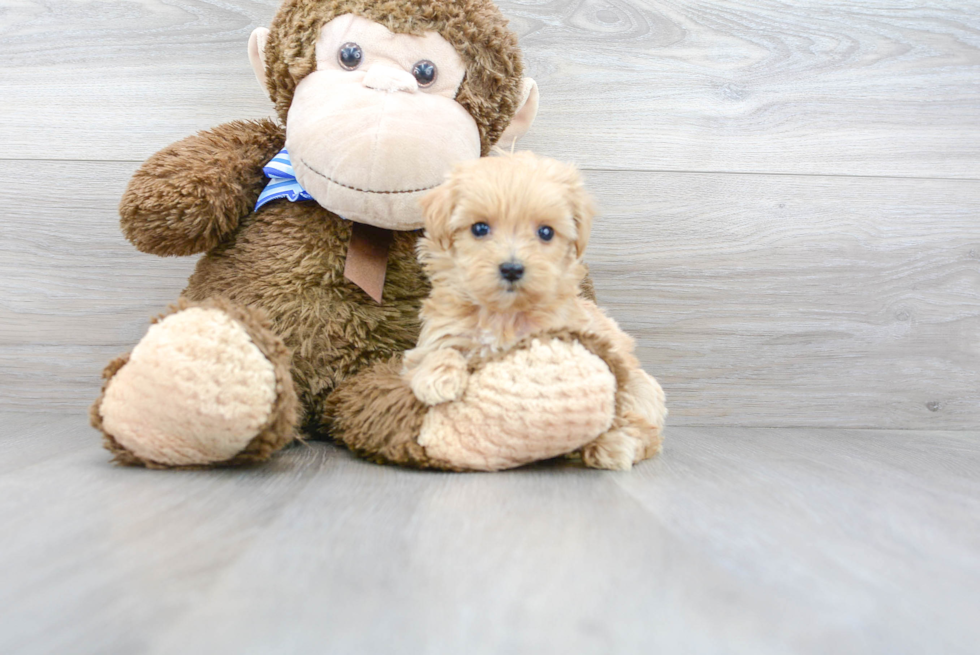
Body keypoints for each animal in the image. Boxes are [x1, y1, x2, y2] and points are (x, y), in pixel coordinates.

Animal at [400, 151, 668, 468]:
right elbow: (438, 352)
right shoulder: (435, 337)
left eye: (546, 232)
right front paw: (438, 377)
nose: (512, 269)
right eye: (480, 228)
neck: (503, 315)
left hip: (638, 386)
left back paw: (613, 445)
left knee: (641, 428)